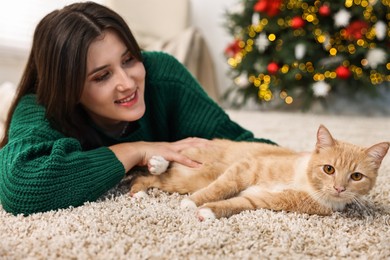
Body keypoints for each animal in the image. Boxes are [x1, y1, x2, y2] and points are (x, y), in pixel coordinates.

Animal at [129, 126, 388, 221]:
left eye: (356, 176)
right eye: (329, 169)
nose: (339, 188)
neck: (303, 180)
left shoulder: (260, 200)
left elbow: (234, 203)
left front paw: (208, 212)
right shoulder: (245, 169)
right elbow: (219, 188)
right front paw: (192, 203)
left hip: (185, 180)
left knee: (151, 177)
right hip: (193, 174)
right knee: (152, 172)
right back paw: (156, 165)